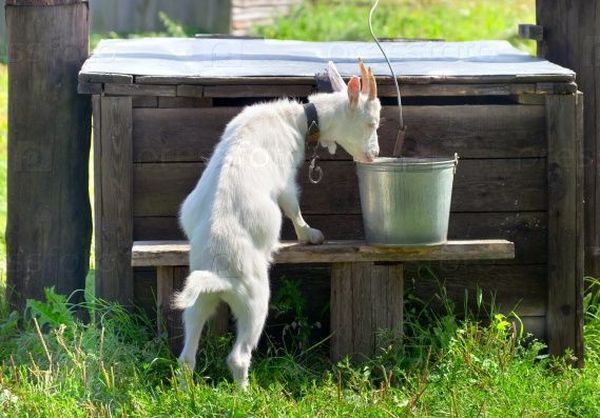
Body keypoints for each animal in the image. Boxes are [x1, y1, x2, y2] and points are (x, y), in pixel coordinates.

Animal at [172, 59, 380, 388]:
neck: (296, 119)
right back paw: (245, 392)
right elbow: (292, 204)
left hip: (196, 300)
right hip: (254, 299)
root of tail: (219, 275)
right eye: (371, 123)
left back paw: (185, 392)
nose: (374, 155)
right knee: (238, 356)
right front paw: (310, 234)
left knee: (186, 356)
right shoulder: (285, 178)